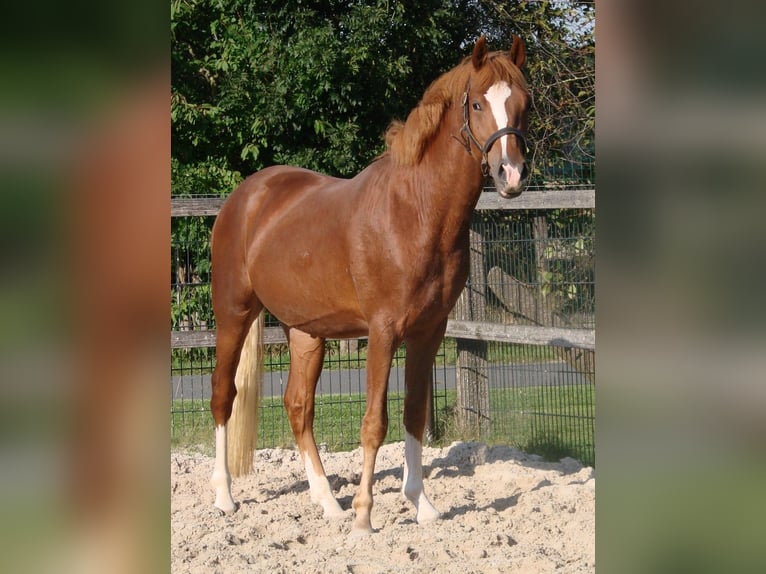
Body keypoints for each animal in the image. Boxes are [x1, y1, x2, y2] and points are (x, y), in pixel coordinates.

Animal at [210, 36, 536, 536]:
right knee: (223, 396)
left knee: (298, 405)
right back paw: (226, 498)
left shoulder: (429, 331)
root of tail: (245, 197)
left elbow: (414, 414)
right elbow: (374, 422)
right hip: (233, 314)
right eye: (478, 103)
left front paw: (422, 505)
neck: (416, 211)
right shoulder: (383, 331)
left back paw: (328, 503)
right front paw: (365, 517)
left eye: (524, 102)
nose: (511, 175)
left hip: (306, 332)